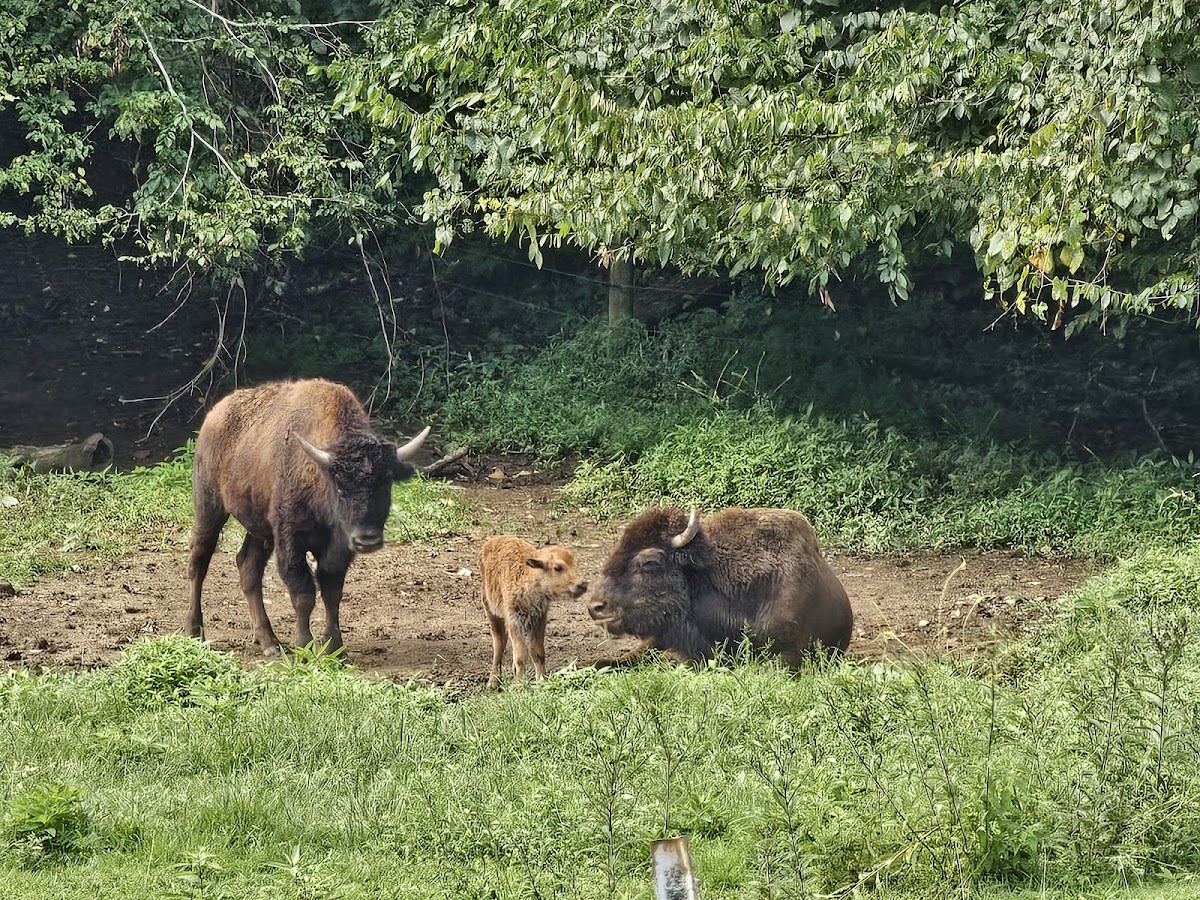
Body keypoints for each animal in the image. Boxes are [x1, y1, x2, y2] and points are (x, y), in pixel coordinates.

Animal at [186, 378, 430, 655]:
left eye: (387, 482)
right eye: (339, 486)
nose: (367, 540)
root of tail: (214, 415)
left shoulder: (337, 545)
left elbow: (331, 591)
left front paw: (335, 648)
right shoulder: (290, 537)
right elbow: (303, 592)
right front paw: (304, 646)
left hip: (260, 528)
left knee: (248, 567)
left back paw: (268, 641)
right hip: (210, 508)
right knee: (199, 561)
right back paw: (194, 631)